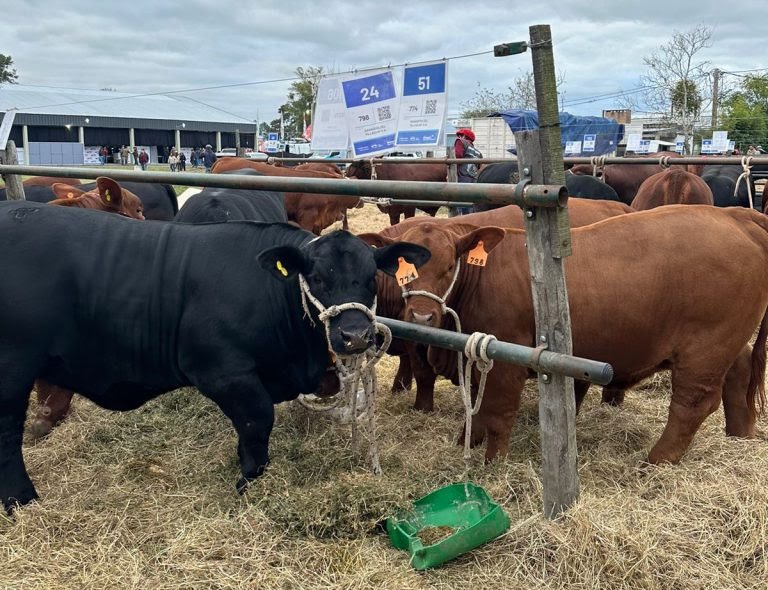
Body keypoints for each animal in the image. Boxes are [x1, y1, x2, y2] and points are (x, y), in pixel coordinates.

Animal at [0, 200, 429, 512]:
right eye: (318, 277)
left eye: (371, 277)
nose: (355, 336)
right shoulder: (223, 372)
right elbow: (257, 422)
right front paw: (248, 482)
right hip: (12, 371)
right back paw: (22, 500)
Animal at [362, 198, 633, 412]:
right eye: (403, 270)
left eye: (449, 267)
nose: (422, 317)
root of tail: (617, 205)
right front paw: (401, 389)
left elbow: (422, 371)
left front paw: (420, 405)